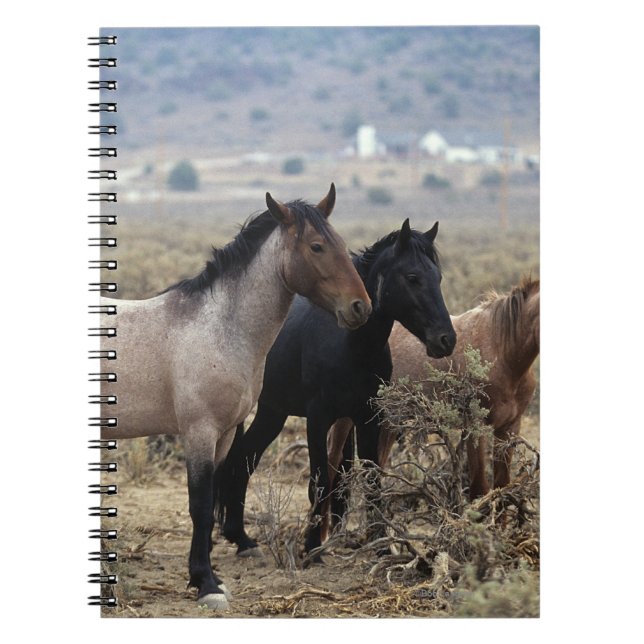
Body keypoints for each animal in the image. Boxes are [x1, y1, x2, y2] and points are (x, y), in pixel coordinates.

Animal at [100, 185, 372, 609]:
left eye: (341, 243)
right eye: (316, 246)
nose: (360, 307)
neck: (220, 328)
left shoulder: (226, 434)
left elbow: (214, 497)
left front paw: (208, 576)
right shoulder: (199, 432)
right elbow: (199, 505)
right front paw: (206, 585)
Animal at [213, 219, 456, 560]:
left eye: (439, 277)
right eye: (412, 277)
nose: (446, 339)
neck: (350, 345)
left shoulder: (367, 417)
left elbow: (371, 478)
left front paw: (381, 544)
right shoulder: (318, 418)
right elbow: (320, 479)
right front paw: (312, 546)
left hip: (273, 412)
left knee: (244, 459)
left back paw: (241, 538)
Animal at [327, 276, 540, 512]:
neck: (502, 352)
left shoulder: (509, 428)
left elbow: (502, 489)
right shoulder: (476, 427)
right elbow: (480, 490)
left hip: (387, 422)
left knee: (374, 472)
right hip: (346, 420)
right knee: (332, 463)